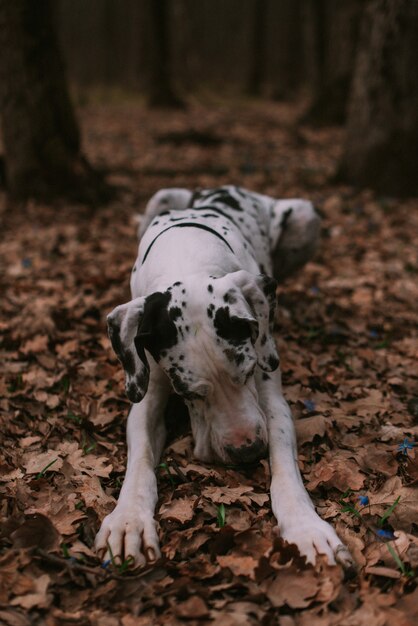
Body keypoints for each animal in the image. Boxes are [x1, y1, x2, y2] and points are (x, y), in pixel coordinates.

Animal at [95, 184, 352, 564]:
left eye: (247, 372)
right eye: (187, 393)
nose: (246, 452)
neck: (188, 256)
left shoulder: (268, 387)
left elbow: (283, 459)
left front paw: (306, 527)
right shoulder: (147, 388)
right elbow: (139, 455)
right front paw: (129, 520)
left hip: (304, 217)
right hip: (163, 195)